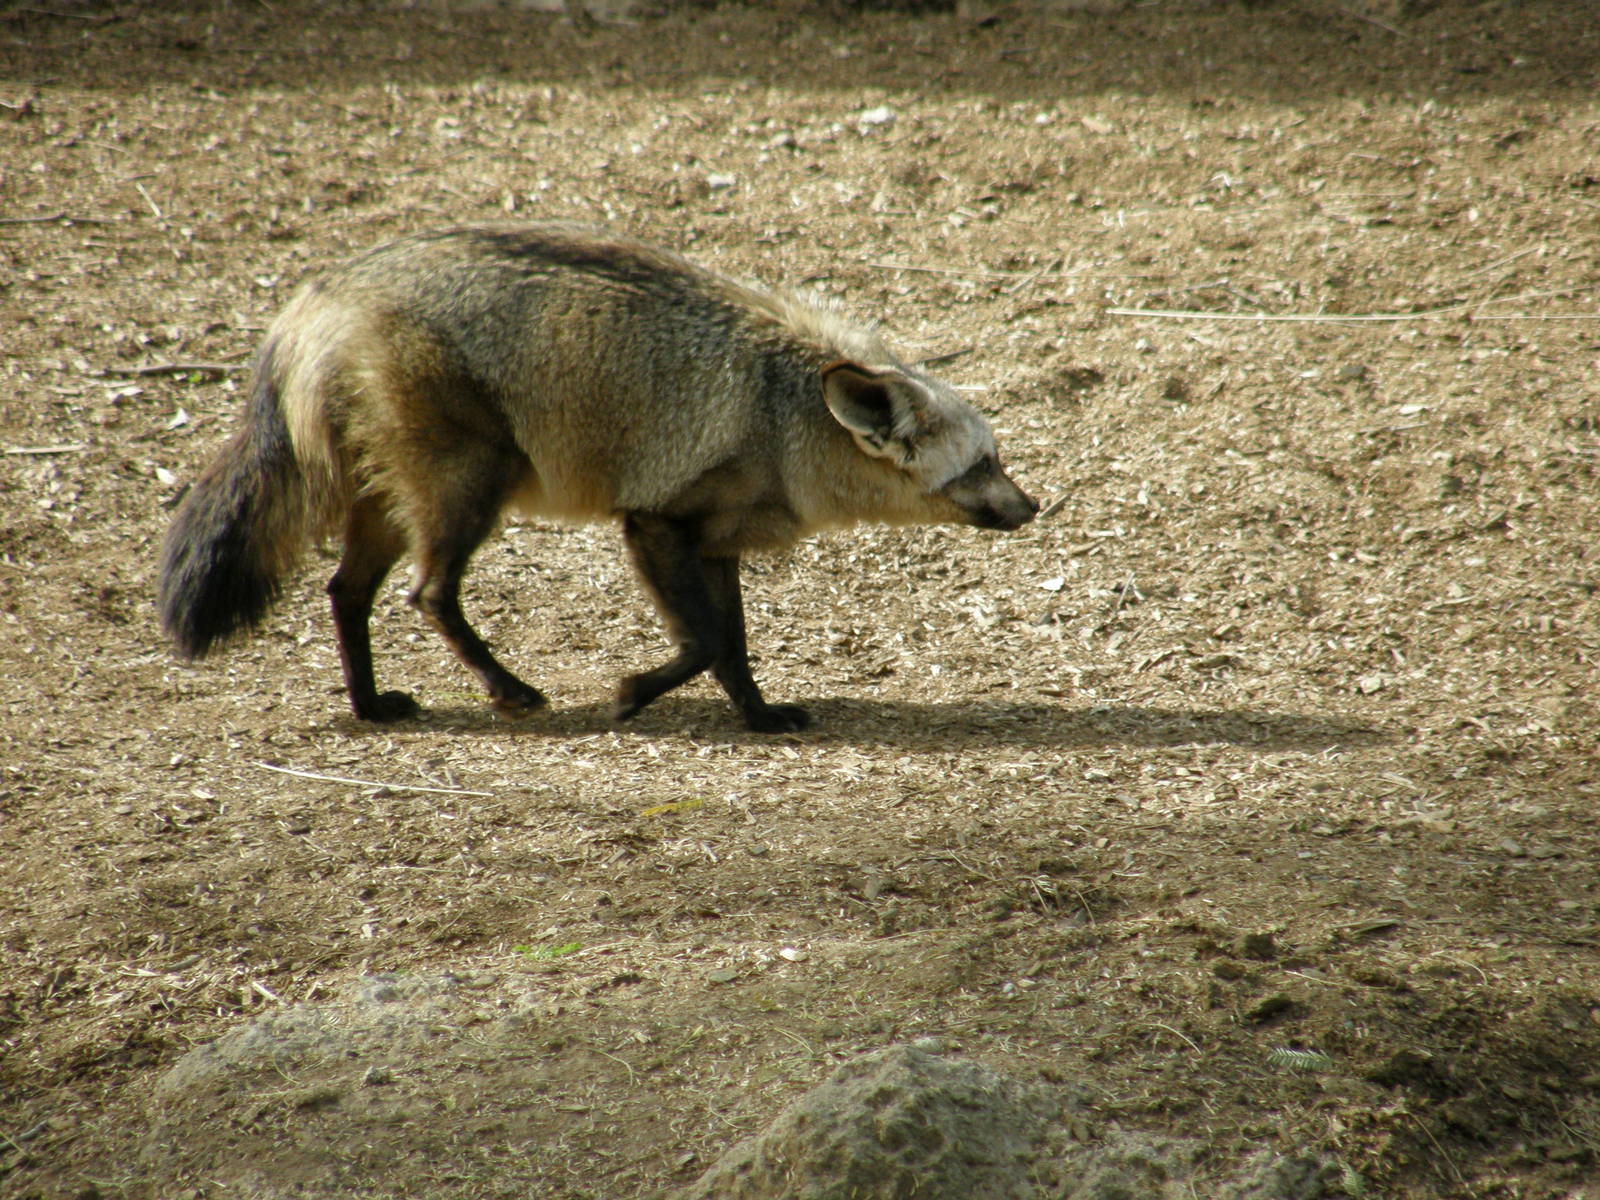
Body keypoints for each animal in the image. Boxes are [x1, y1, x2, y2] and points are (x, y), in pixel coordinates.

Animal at [157, 222, 1038, 732]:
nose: (1033, 507)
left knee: (347, 593)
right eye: (984, 464)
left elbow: (731, 646)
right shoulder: (652, 525)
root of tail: (313, 299)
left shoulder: (715, 545)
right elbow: (704, 642)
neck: (782, 414)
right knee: (429, 594)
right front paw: (633, 693)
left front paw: (756, 716)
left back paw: (372, 707)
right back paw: (507, 690)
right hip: (470, 492)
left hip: (394, 506)